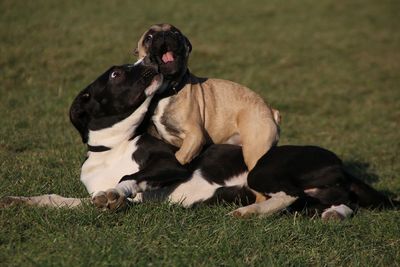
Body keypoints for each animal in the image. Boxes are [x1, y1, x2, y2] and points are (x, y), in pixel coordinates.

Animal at [1, 62, 396, 220]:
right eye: (115, 74)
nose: (153, 66)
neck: (111, 148)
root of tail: (339, 164)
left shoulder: (170, 163)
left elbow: (130, 178)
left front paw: (118, 191)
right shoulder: (89, 196)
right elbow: (59, 199)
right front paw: (19, 201)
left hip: (264, 170)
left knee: (289, 193)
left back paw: (249, 211)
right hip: (316, 199)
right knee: (337, 203)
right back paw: (332, 214)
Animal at [134, 23, 278, 170]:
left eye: (176, 33)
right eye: (148, 37)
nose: (164, 34)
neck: (166, 91)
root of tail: (271, 111)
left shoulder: (194, 136)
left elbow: (179, 156)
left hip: (254, 149)